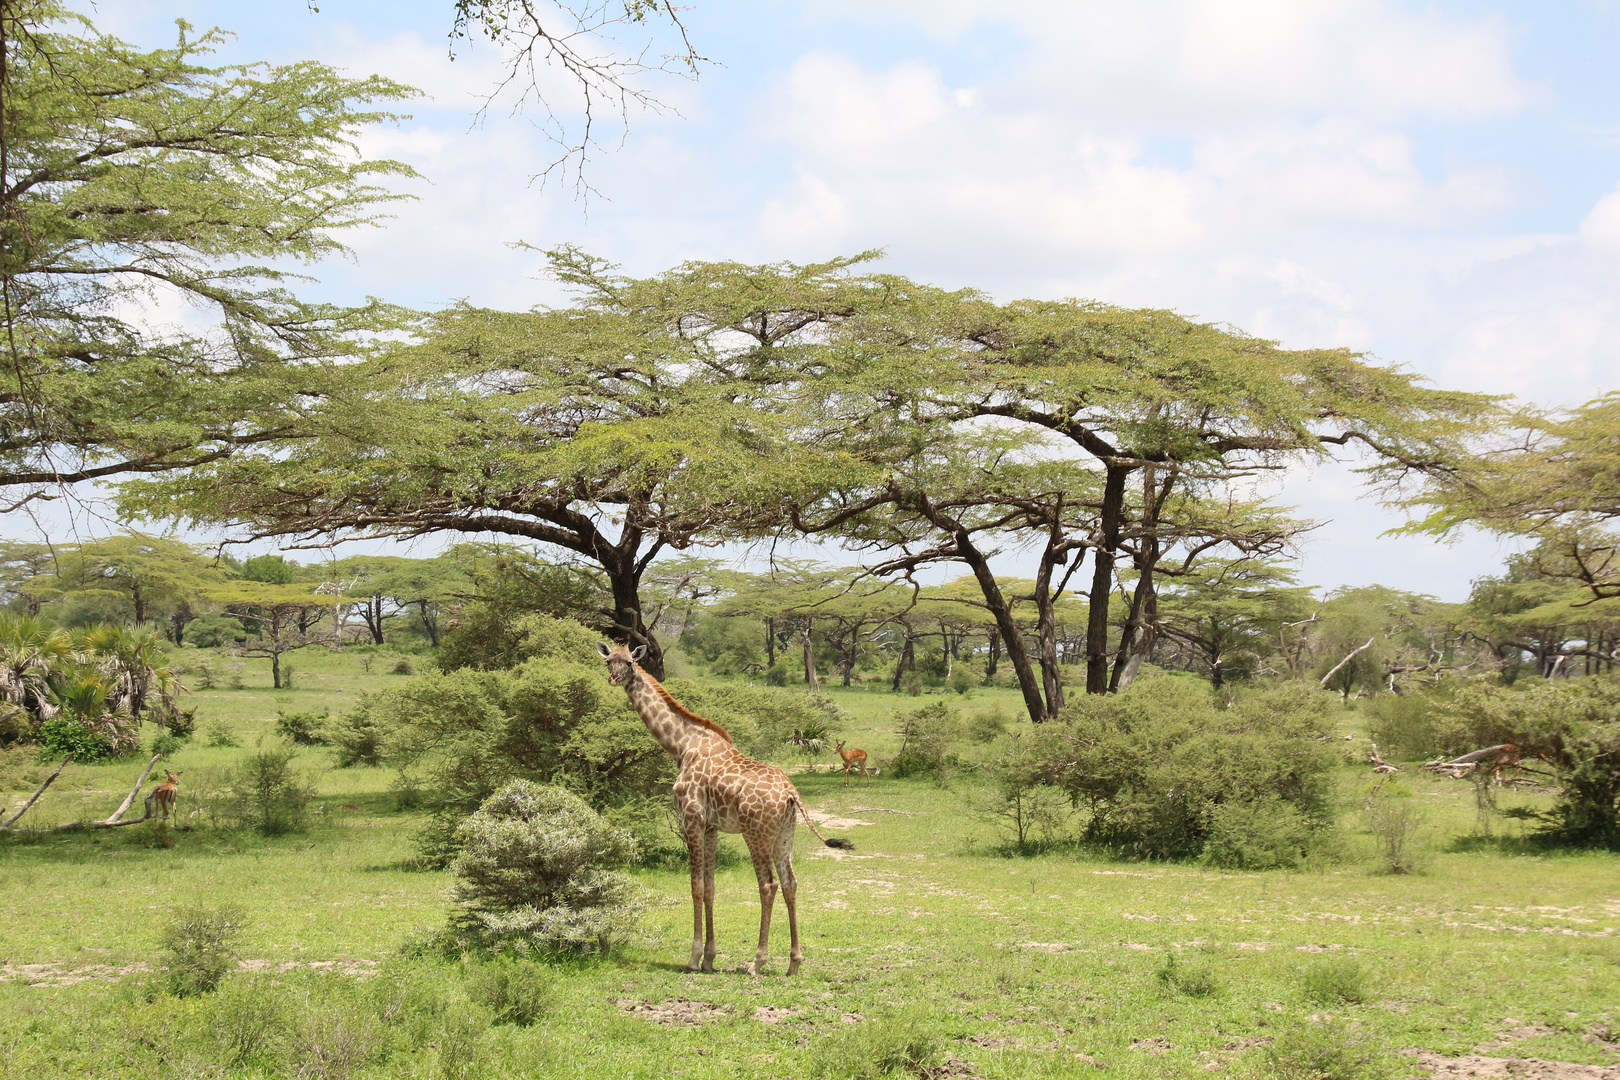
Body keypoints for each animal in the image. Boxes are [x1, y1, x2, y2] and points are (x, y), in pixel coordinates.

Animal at [596, 641, 848, 977]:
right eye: (609, 660)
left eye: (629, 663)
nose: (613, 678)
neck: (681, 746)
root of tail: (792, 793)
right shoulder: (711, 826)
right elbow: (711, 888)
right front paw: (709, 958)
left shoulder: (691, 818)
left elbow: (695, 887)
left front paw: (693, 959)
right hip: (785, 835)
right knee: (790, 883)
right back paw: (794, 962)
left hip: (756, 833)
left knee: (768, 884)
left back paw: (757, 961)